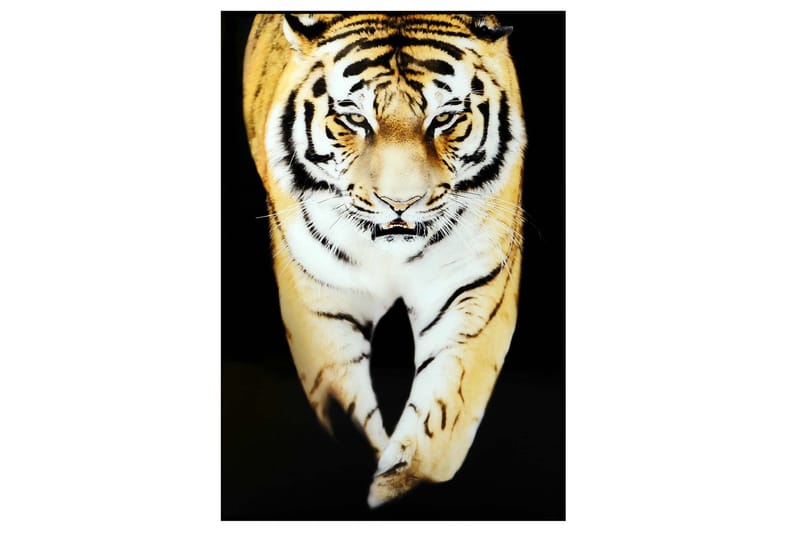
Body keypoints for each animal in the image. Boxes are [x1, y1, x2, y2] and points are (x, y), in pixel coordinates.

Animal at [242, 13, 526, 508]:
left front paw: (394, 484)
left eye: (444, 118)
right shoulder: (321, 303)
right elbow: (343, 406)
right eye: (355, 118)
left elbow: (440, 423)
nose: (400, 203)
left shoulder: (472, 294)